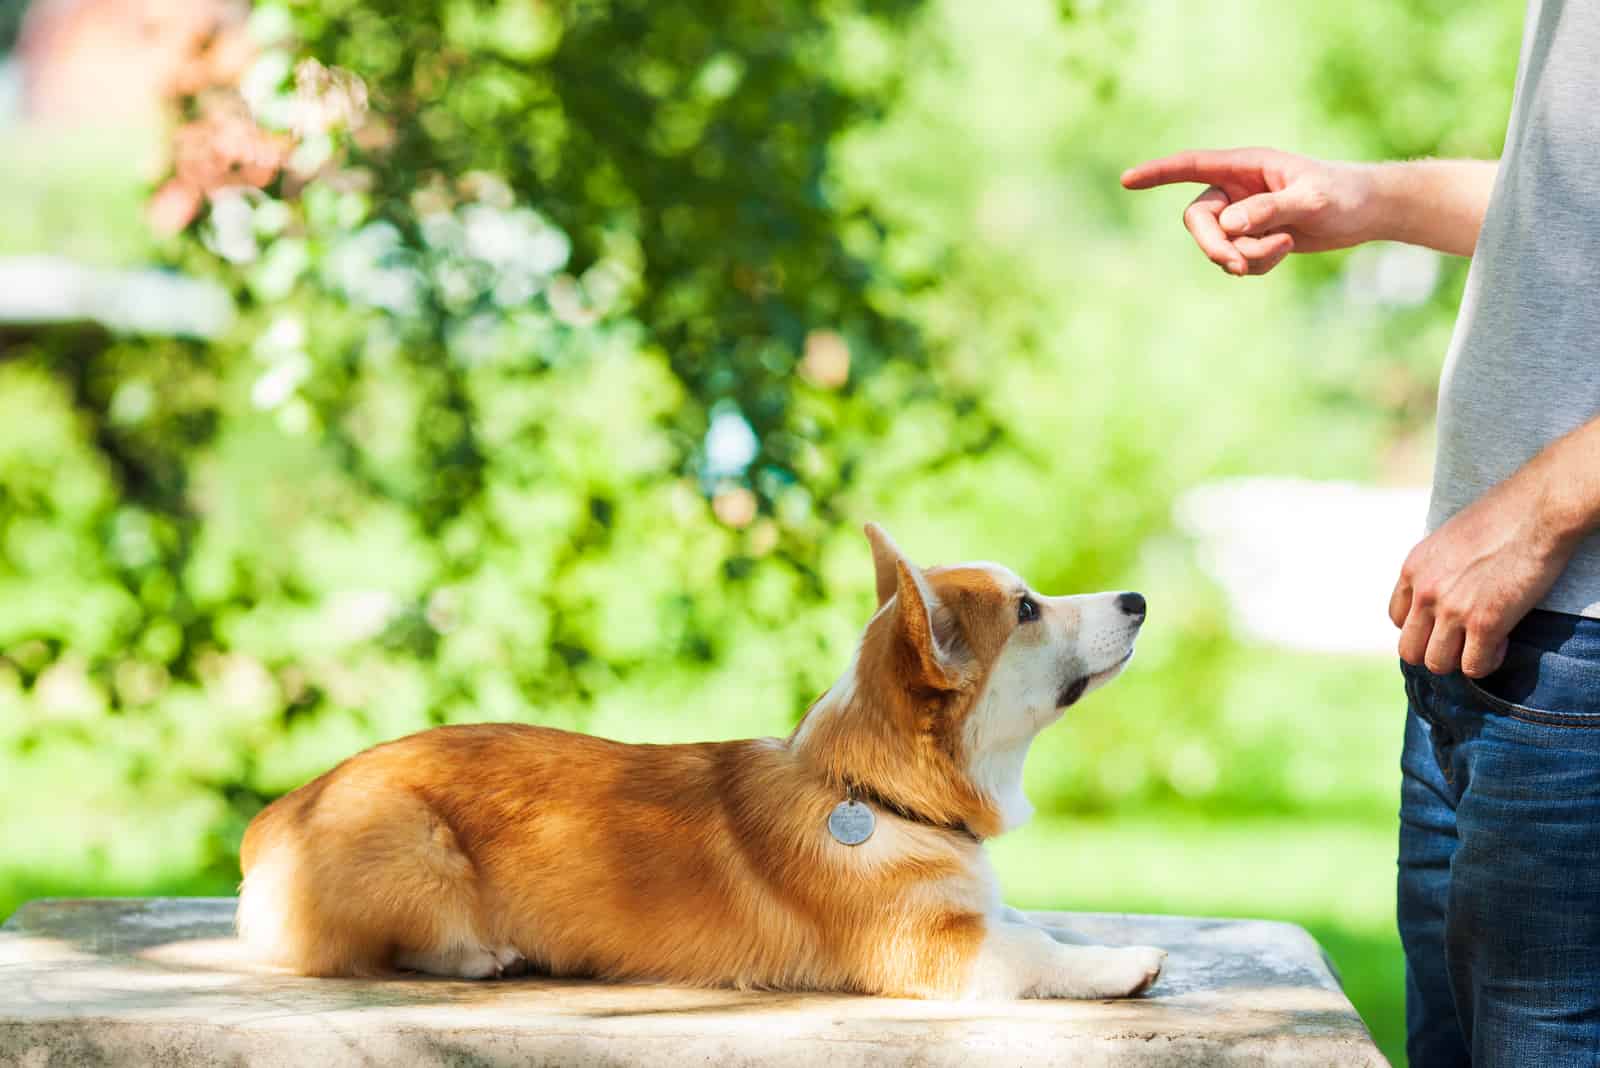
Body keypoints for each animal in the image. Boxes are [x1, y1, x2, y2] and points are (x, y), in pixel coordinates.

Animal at [236, 524, 1164, 1004]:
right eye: (1028, 610)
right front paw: (1122, 966)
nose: (1139, 600)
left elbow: (1036, 925)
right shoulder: (934, 949)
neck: (877, 793)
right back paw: (480, 955)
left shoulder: (972, 914)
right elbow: (1036, 954)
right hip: (416, 852)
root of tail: (281, 813)